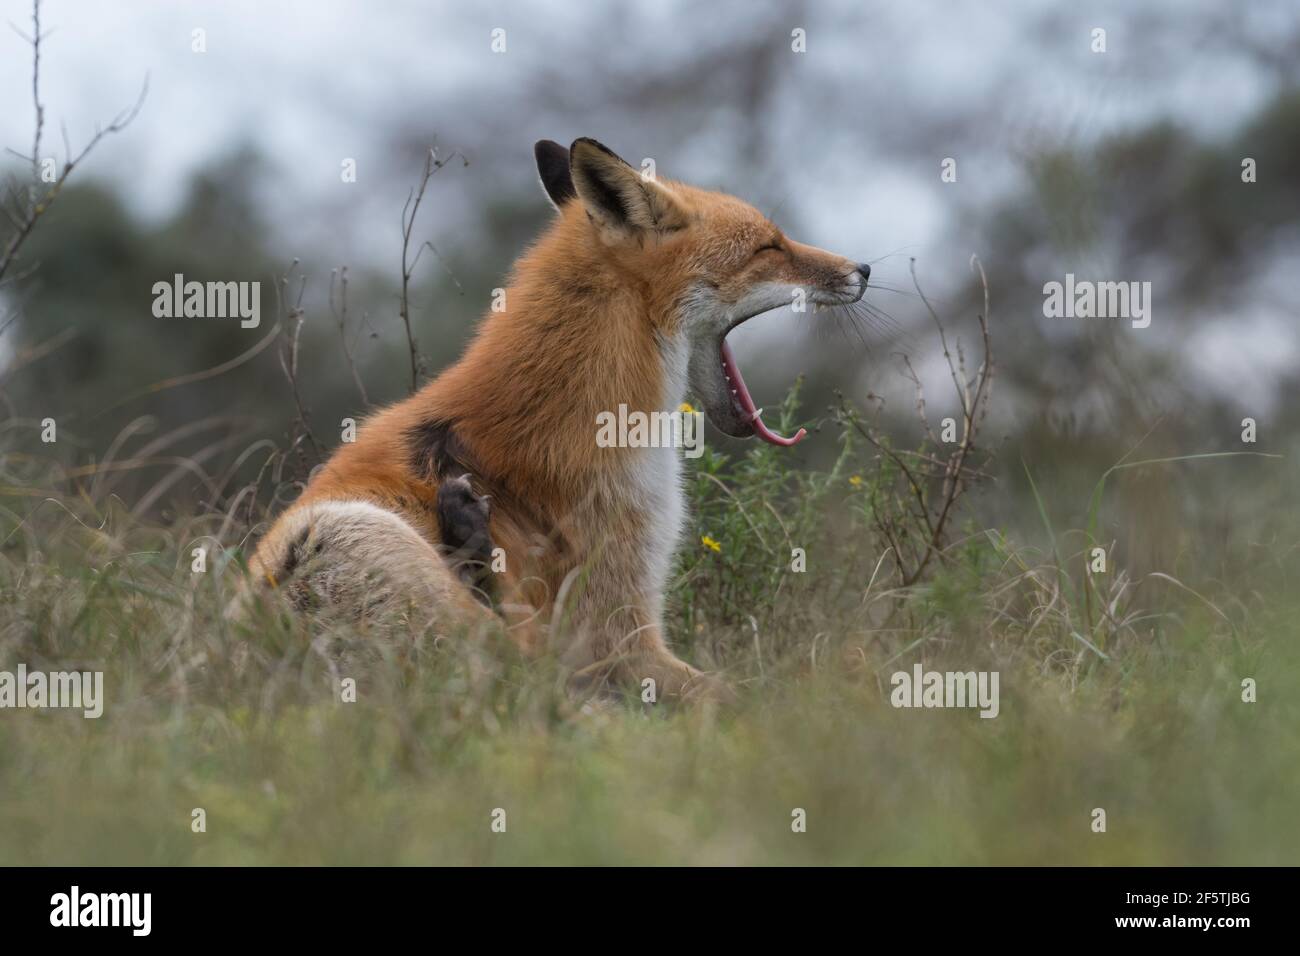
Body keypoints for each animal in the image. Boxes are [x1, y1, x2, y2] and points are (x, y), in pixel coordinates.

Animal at [246, 136, 868, 702]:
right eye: (769, 247)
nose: (861, 267)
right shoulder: (620, 627)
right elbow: (745, 696)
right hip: (357, 533)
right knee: (531, 680)